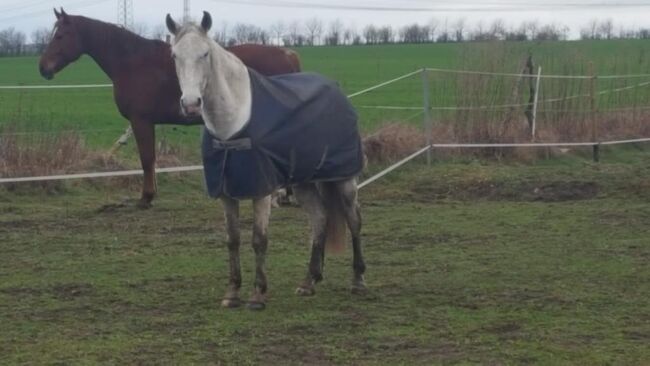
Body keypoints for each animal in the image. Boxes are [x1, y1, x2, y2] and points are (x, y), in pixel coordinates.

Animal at [40, 9, 302, 209]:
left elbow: (146, 159)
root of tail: (286, 53)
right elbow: (151, 160)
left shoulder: (141, 121)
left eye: (60, 36)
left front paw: (146, 198)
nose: (43, 68)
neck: (133, 62)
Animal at [165, 10, 368, 308]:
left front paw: (258, 294)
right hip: (305, 182)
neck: (231, 123)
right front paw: (232, 293)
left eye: (205, 54)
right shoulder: (226, 192)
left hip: (344, 179)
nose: (191, 104)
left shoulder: (261, 190)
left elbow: (259, 239)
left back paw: (358, 280)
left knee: (354, 220)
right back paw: (309, 282)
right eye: (175, 55)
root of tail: (337, 91)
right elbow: (233, 239)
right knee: (320, 219)